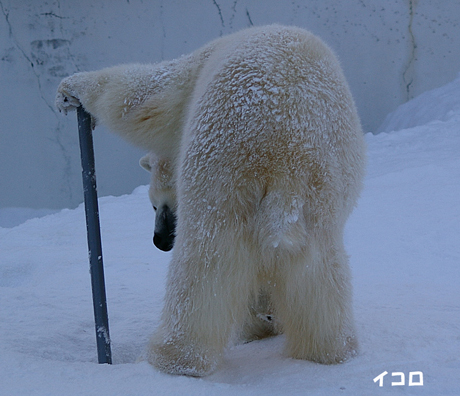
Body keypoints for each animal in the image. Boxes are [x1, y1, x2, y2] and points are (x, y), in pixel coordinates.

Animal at [56, 23, 366, 376]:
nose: (160, 240)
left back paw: (170, 360)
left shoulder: (192, 78)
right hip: (318, 197)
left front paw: (72, 91)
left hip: (221, 173)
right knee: (320, 275)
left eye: (158, 204)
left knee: (204, 266)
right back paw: (327, 352)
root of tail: (283, 160)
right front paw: (263, 320)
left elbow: (148, 98)